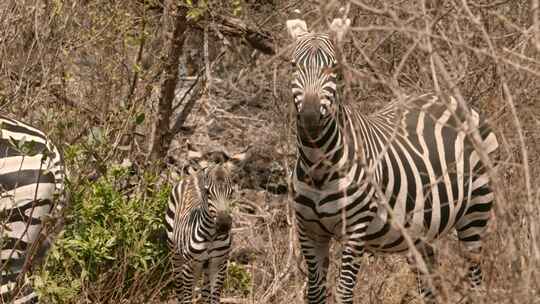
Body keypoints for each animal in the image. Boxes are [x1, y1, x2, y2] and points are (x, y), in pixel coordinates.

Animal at [163, 165, 233, 302]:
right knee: (180, 288)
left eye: (231, 192)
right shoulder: (189, 265)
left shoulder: (219, 263)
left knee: (205, 291)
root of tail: (192, 176)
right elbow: (187, 297)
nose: (224, 225)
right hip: (175, 253)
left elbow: (214, 297)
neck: (211, 235)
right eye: (208, 193)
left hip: (205, 266)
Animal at [284, 19, 500, 304]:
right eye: (294, 65)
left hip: (477, 210)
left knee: (475, 280)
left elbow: (343, 292)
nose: (309, 117)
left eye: (335, 68)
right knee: (429, 285)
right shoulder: (308, 230)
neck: (318, 165)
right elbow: (315, 293)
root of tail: (450, 98)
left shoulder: (355, 229)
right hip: (423, 230)